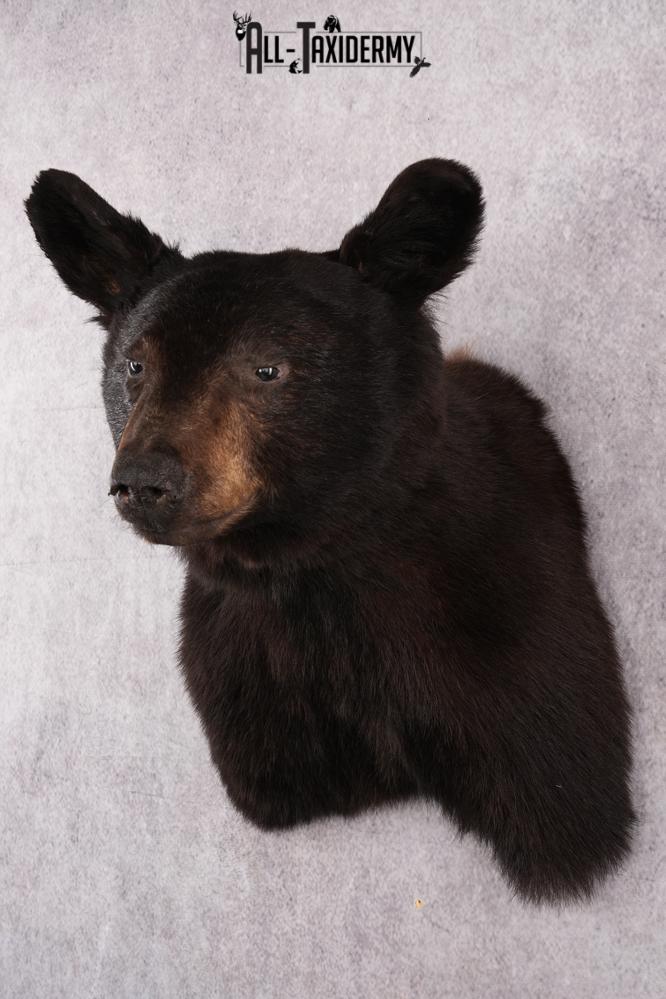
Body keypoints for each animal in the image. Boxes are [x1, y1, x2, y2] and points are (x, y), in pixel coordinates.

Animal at [25, 158, 634, 903]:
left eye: (268, 367)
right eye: (135, 365)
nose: (144, 480)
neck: (312, 572)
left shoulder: (509, 658)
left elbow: (559, 781)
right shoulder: (253, 685)